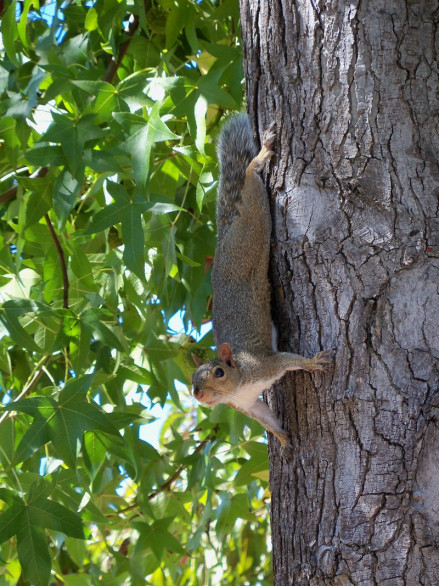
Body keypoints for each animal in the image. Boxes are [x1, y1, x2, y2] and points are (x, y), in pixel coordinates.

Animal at [191, 113, 332, 460]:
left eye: (218, 373)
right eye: (191, 380)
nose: (199, 395)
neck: (240, 379)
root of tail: (223, 237)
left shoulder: (265, 365)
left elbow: (290, 360)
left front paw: (314, 362)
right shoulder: (246, 405)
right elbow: (266, 419)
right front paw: (282, 439)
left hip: (252, 224)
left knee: (249, 180)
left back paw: (262, 155)